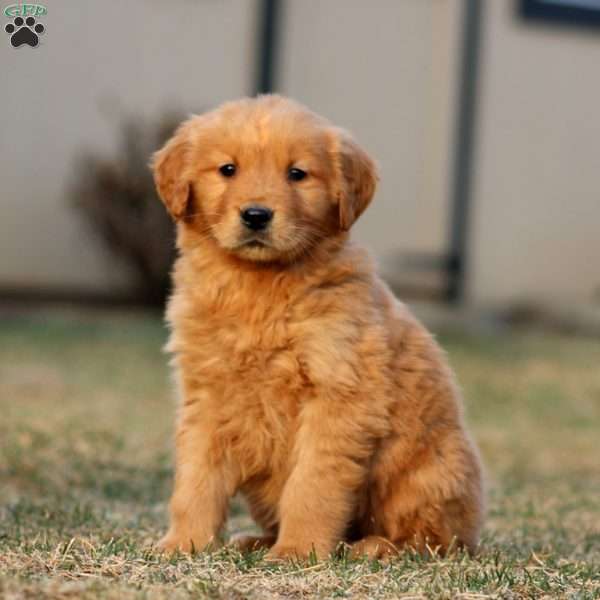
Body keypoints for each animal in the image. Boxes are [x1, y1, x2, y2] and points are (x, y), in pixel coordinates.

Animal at [152, 95, 486, 564]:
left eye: (297, 173)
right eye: (227, 169)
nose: (256, 215)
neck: (260, 289)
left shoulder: (340, 396)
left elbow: (312, 486)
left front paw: (298, 551)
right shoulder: (207, 395)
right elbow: (196, 480)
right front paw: (184, 543)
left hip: (427, 474)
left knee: (431, 540)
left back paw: (373, 546)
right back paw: (257, 540)